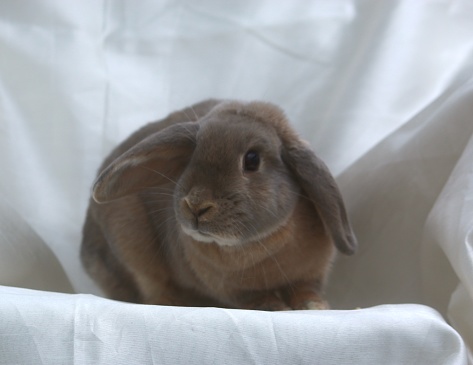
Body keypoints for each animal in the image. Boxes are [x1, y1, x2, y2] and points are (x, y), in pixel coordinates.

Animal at [81, 99, 356, 310]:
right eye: (191, 157)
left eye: (252, 160)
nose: (196, 205)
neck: (262, 245)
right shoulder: (233, 290)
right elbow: (258, 299)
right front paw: (277, 308)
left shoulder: (310, 275)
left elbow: (306, 290)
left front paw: (313, 306)